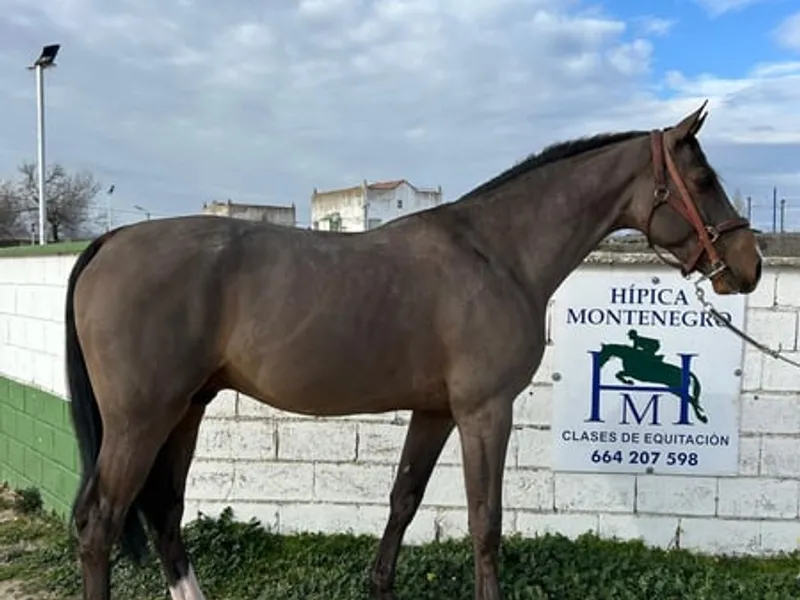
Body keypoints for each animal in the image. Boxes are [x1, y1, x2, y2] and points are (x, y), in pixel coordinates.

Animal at [65, 103, 761, 600]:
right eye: (702, 179)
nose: (748, 265)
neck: (497, 252)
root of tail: (112, 240)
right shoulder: (485, 411)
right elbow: (486, 521)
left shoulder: (435, 412)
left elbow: (403, 499)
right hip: (141, 419)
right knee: (101, 522)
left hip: (186, 408)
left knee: (164, 509)